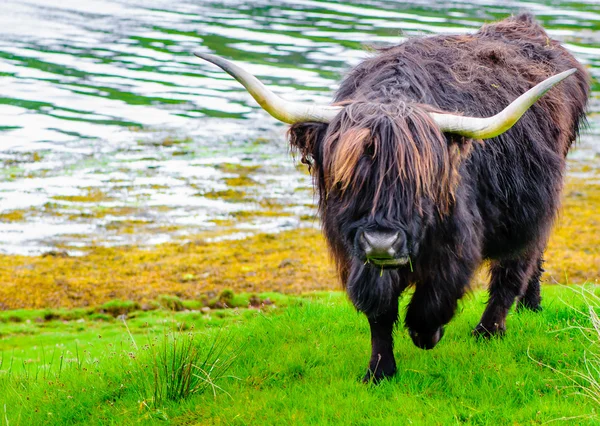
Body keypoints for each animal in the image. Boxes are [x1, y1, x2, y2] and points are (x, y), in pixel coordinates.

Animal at [196, 13, 584, 382]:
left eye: (418, 183)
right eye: (349, 179)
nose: (382, 244)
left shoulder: (457, 243)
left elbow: (434, 300)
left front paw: (427, 334)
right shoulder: (356, 251)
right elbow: (378, 309)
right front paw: (379, 371)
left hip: (534, 205)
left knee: (515, 267)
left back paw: (489, 331)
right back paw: (529, 306)